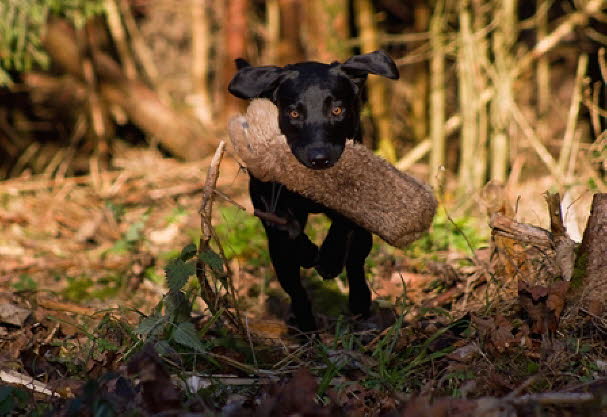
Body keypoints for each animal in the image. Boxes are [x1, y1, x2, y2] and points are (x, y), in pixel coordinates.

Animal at [228, 51, 400, 332]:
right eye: (294, 113)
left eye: (337, 109)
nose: (319, 159)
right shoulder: (267, 202)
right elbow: (285, 225)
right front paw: (307, 251)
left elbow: (343, 223)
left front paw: (330, 258)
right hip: (278, 257)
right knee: (296, 290)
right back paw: (306, 327)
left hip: (364, 238)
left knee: (356, 262)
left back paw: (359, 301)